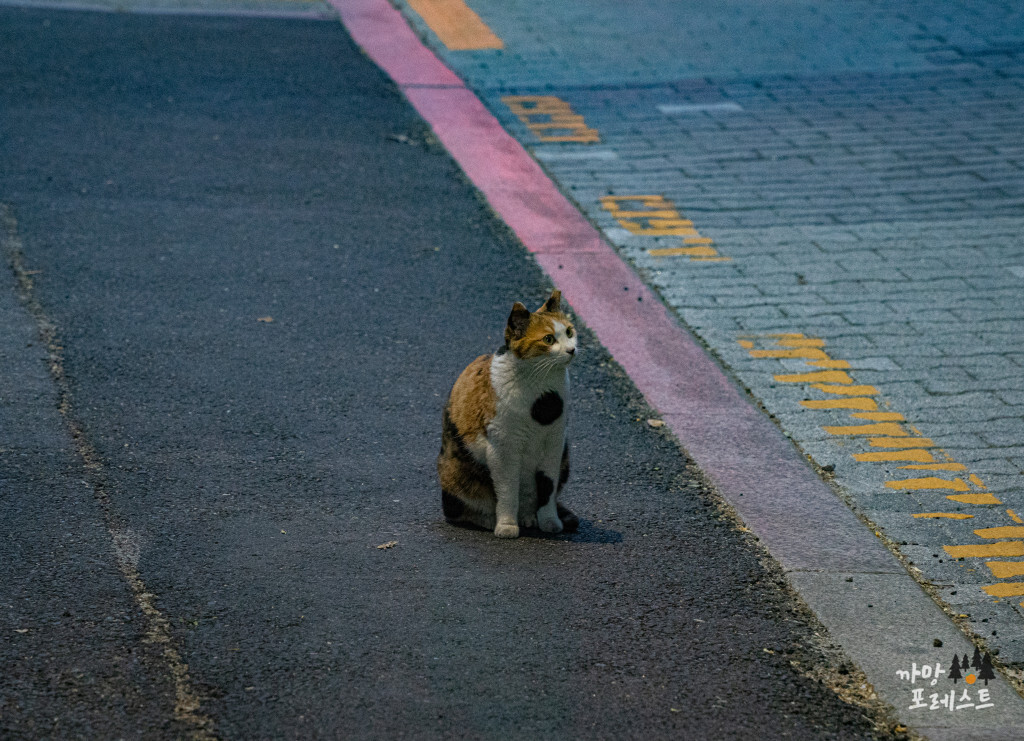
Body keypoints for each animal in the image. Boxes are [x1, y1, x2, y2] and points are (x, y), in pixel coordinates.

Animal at [438, 288, 581, 540]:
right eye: (548, 339)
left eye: (569, 332)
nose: (571, 349)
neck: (544, 397)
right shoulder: (503, 448)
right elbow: (507, 490)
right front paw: (506, 525)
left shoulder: (554, 444)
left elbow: (547, 488)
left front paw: (550, 521)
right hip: (457, 473)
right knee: (457, 510)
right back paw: (488, 519)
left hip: (565, 457)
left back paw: (529, 517)